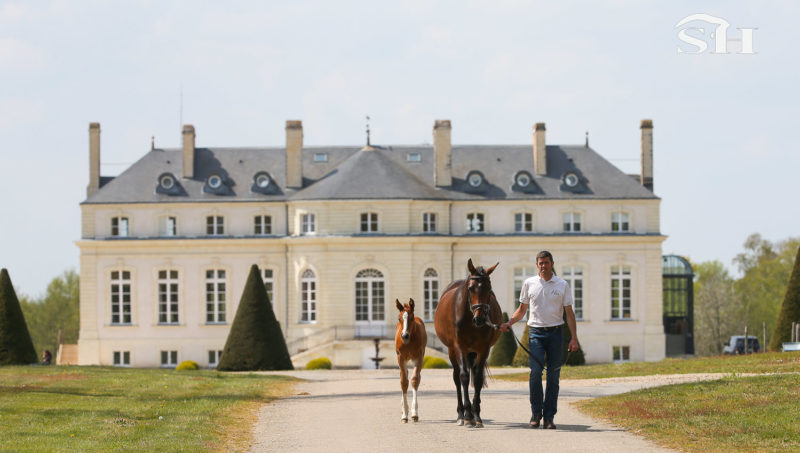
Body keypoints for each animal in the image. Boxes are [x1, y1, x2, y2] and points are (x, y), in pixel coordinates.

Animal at [434, 260, 504, 426]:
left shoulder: (483, 349)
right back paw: (461, 414)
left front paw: (476, 415)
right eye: (471, 288)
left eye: (489, 289)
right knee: (457, 378)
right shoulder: (459, 347)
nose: (480, 319)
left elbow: (477, 379)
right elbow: (464, 376)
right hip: (452, 351)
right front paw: (467, 415)